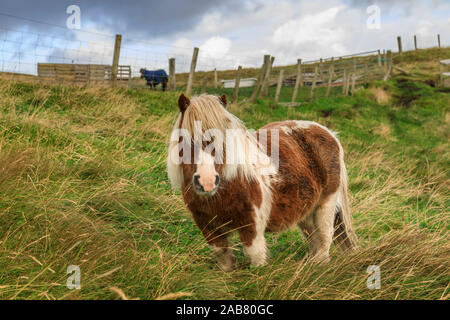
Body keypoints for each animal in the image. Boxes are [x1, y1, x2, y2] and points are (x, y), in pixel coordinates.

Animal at [167, 92, 356, 270]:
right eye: (186, 140)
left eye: (224, 142)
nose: (207, 182)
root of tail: (329, 133)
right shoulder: (208, 226)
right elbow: (223, 256)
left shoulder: (252, 227)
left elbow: (255, 257)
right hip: (306, 211)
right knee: (315, 240)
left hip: (326, 205)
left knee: (324, 239)